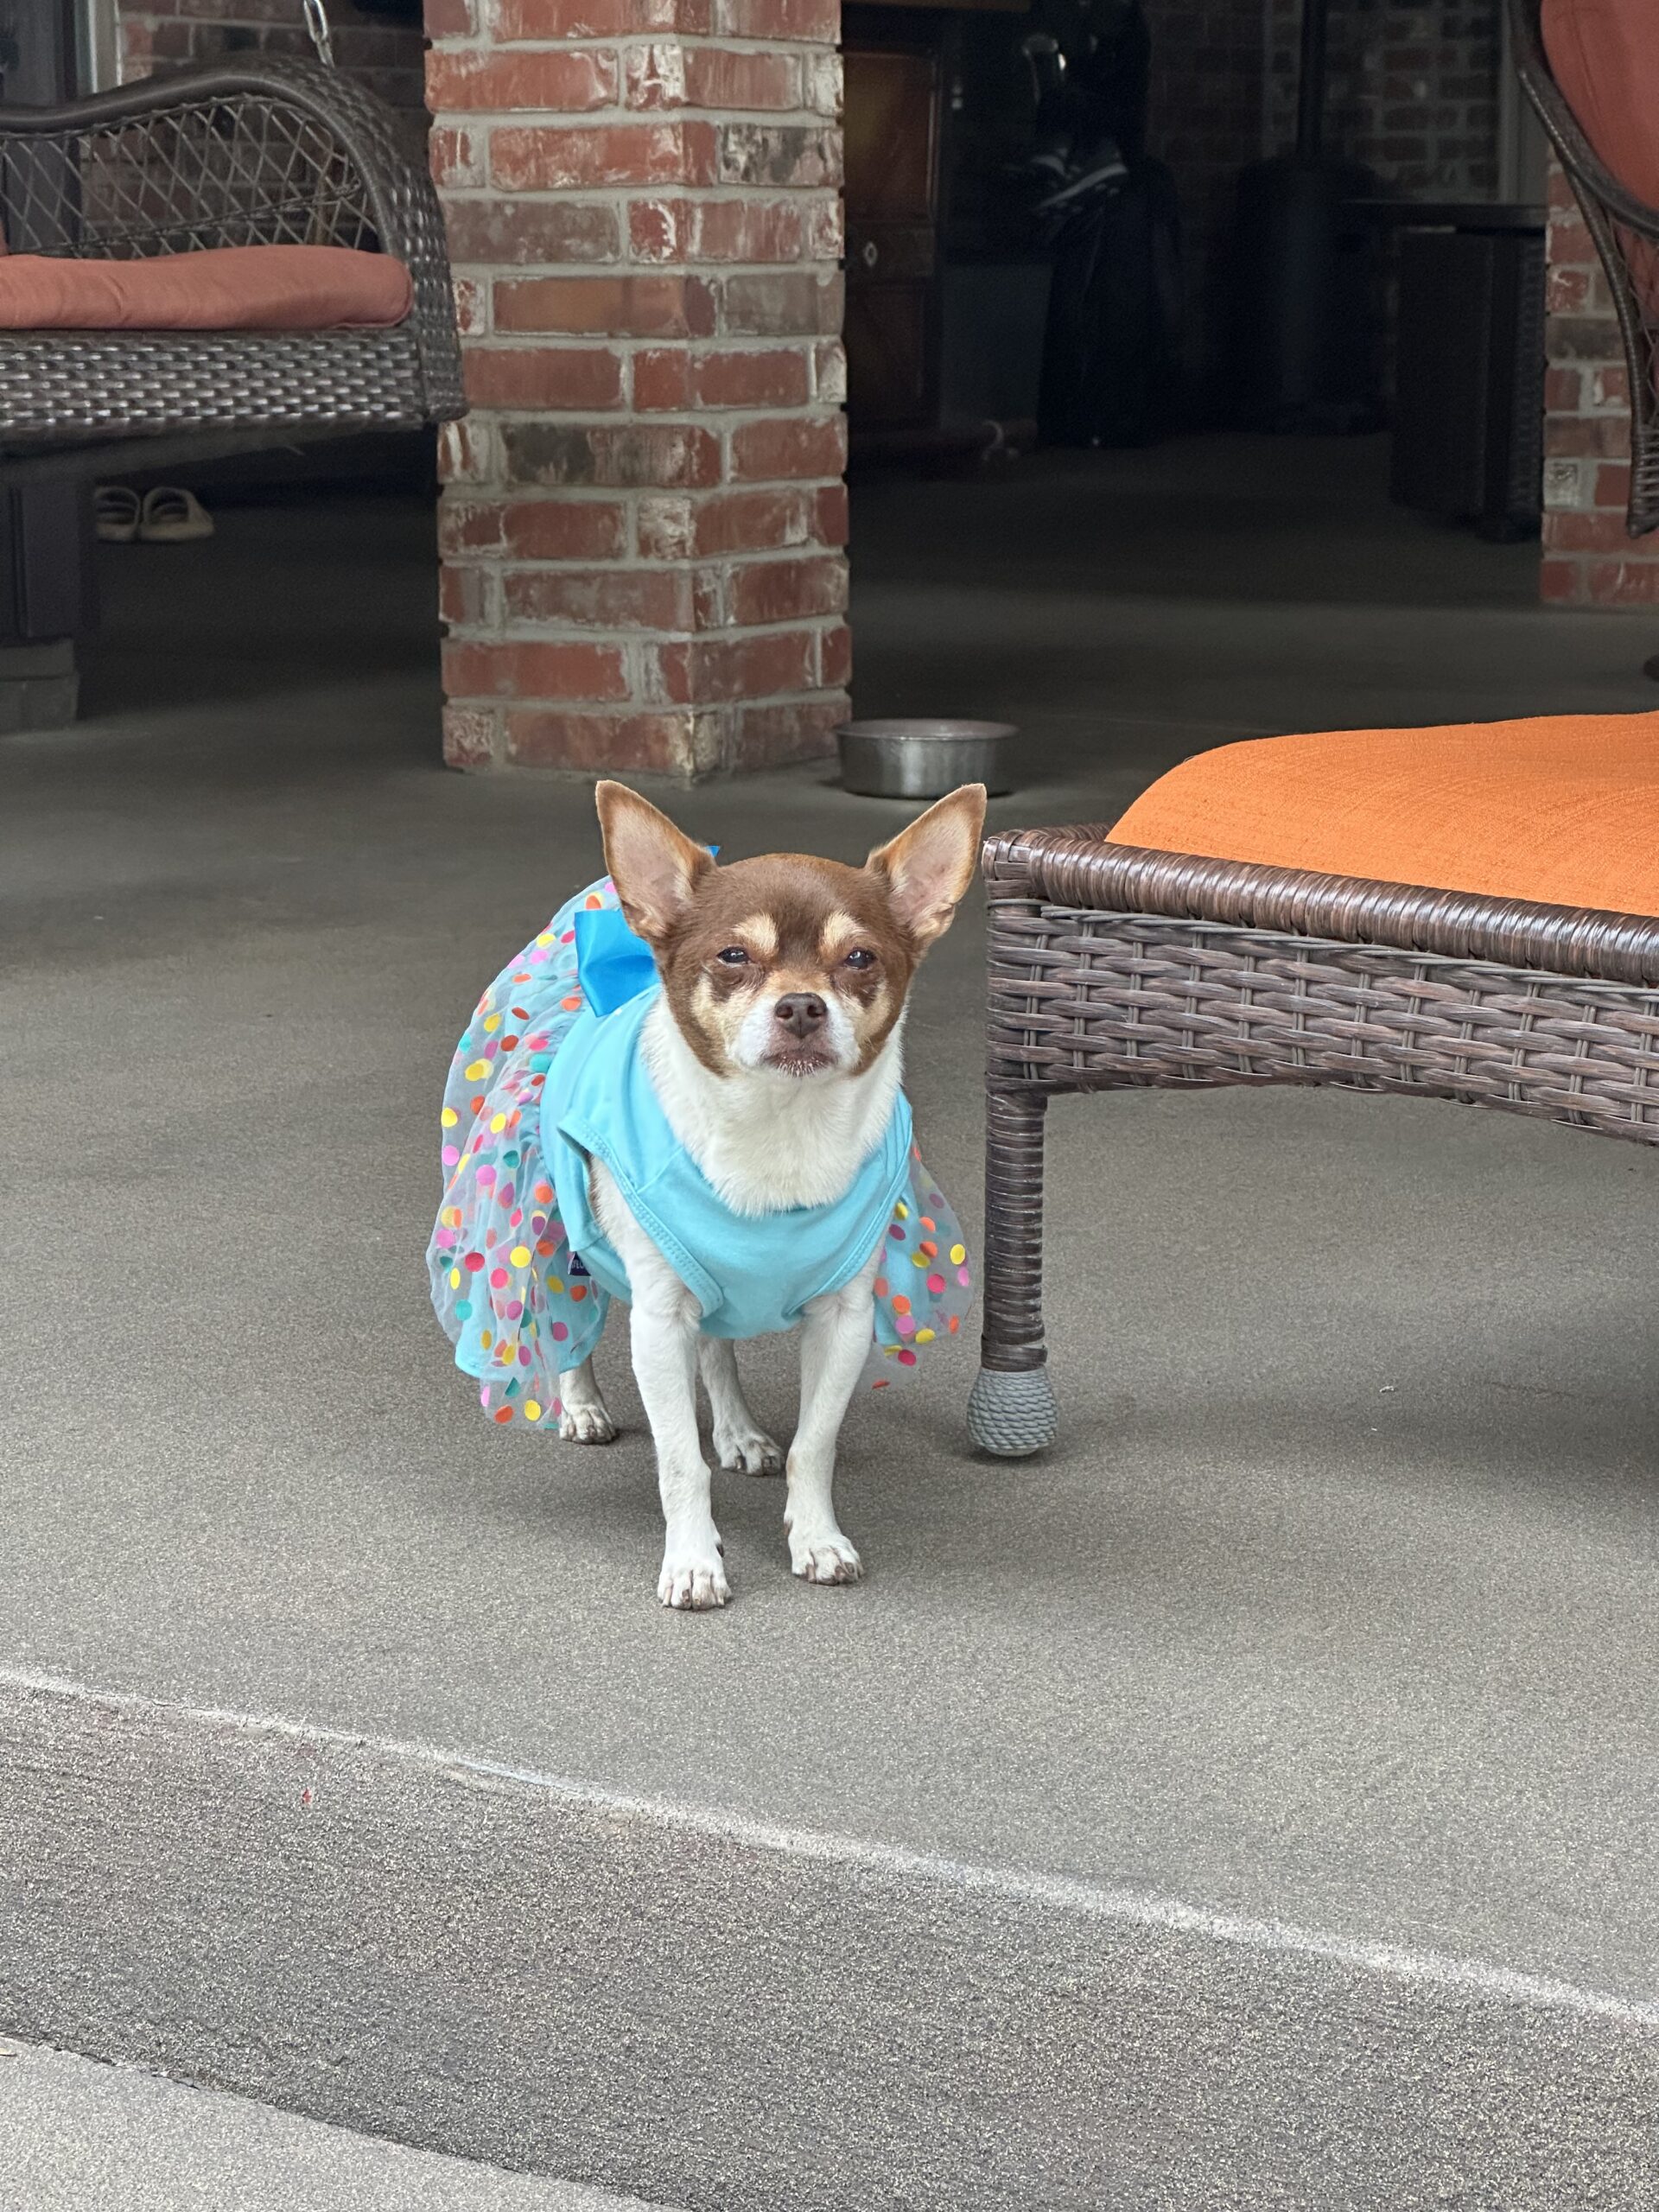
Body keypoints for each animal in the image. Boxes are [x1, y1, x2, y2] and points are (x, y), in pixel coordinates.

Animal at [428, 778, 986, 1609]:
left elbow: (814, 1445)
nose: (801, 1005)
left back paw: (738, 1431)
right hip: (554, 1226)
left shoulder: (843, 1322)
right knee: (561, 1319)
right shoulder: (658, 1322)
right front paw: (692, 1562)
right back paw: (581, 1404)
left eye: (859, 959)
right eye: (733, 956)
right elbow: (677, 1461)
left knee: (719, 1349)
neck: (778, 1130)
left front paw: (817, 1538)